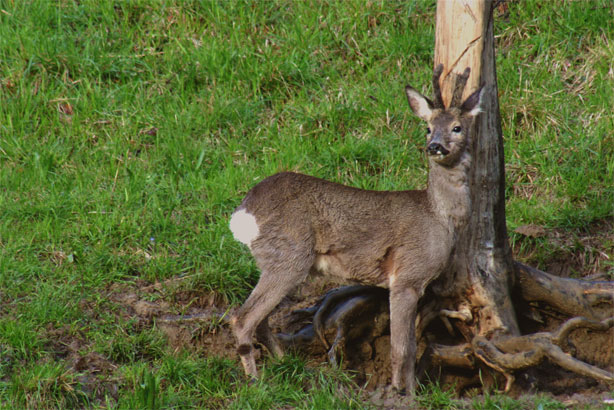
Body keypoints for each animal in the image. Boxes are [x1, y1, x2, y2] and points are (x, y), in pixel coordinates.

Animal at [229, 65, 484, 394]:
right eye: (427, 128)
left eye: (457, 127)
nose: (435, 147)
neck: (439, 216)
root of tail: (243, 211)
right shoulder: (407, 275)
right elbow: (403, 348)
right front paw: (402, 392)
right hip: (288, 256)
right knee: (243, 317)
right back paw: (256, 381)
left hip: (274, 260)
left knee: (259, 318)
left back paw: (285, 365)